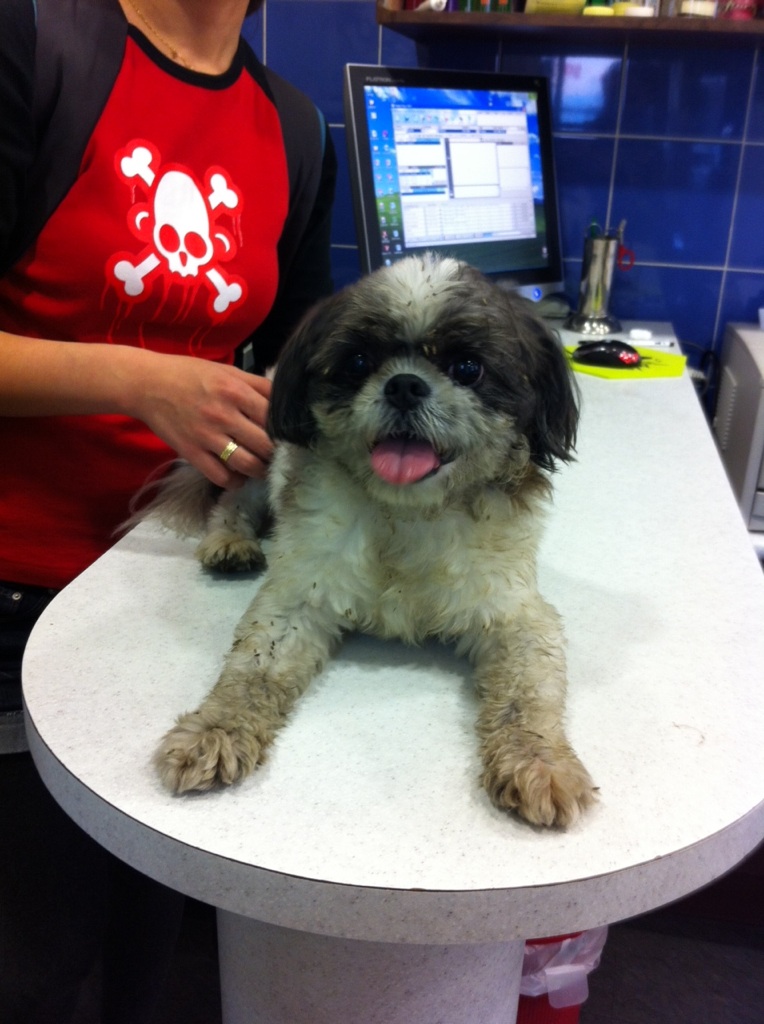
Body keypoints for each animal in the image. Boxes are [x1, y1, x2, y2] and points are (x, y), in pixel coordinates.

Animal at [148, 254, 596, 828]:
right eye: (359, 361)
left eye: (467, 367)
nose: (404, 384)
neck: (406, 515)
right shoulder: (296, 599)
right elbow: (251, 672)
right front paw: (213, 731)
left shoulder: (516, 614)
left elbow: (528, 694)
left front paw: (540, 762)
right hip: (254, 455)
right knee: (232, 501)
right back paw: (229, 542)